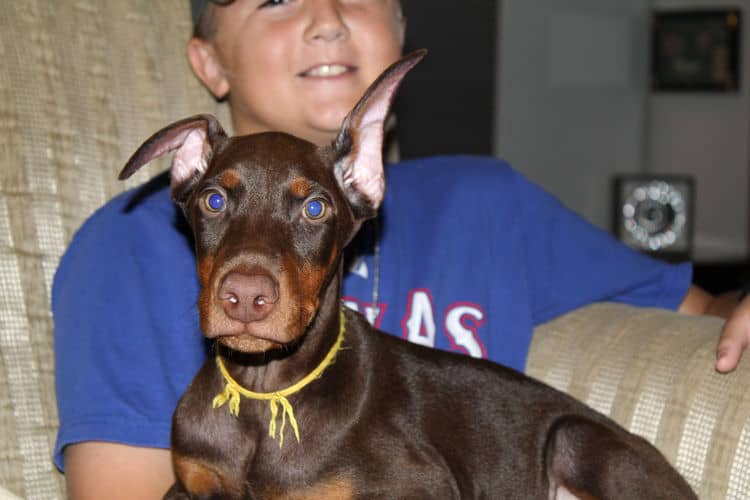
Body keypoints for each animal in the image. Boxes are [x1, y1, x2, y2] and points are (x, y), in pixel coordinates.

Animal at [119, 51, 700, 500]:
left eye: (315, 209)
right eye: (214, 200)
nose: (244, 298)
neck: (265, 392)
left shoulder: (424, 485)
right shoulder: (190, 483)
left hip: (575, 437)